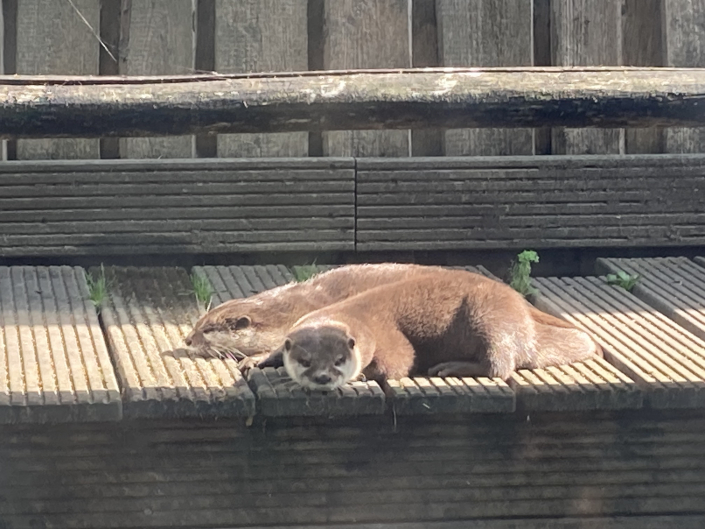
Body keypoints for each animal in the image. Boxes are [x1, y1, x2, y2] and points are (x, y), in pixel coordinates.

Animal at [256, 269, 602, 391]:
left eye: (340, 360)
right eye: (305, 361)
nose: (323, 378)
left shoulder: (387, 338)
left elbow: (398, 362)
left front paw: (364, 375)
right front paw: (261, 359)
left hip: (489, 315)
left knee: (500, 365)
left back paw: (451, 367)